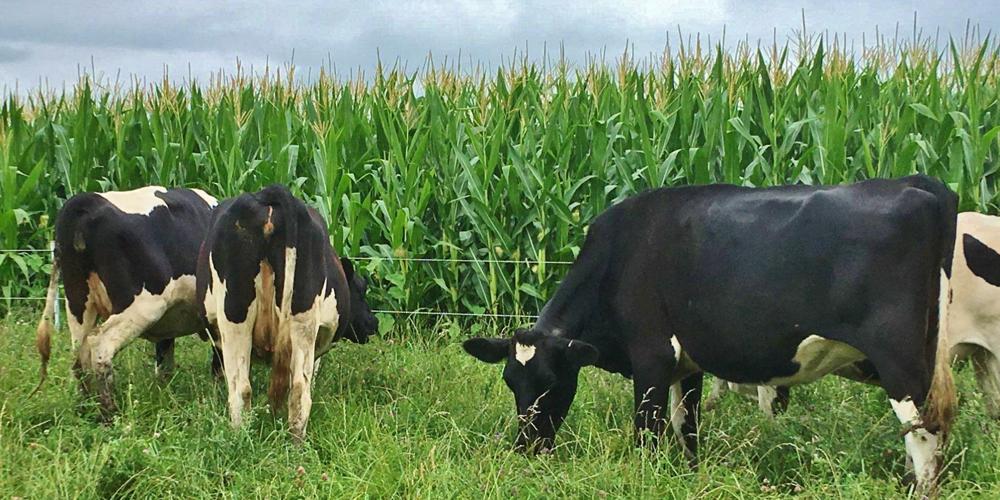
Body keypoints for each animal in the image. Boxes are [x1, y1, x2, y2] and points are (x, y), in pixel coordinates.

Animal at [34, 186, 218, 418]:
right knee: (99, 345)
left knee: (79, 354)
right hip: (140, 307)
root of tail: (86, 201)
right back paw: (109, 412)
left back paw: (85, 408)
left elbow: (165, 361)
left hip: (78, 303)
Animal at [196, 184, 378, 441]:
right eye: (361, 289)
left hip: (236, 317)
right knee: (295, 389)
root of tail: (268, 196)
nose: (374, 322)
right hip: (298, 321)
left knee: (243, 388)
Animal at [462, 175, 958, 494]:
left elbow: (648, 429)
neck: (618, 255)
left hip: (900, 361)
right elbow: (687, 427)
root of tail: (918, 184)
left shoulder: (651, 357)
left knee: (925, 435)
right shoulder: (687, 363)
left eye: (551, 380)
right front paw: (686, 476)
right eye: (510, 381)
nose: (526, 447)